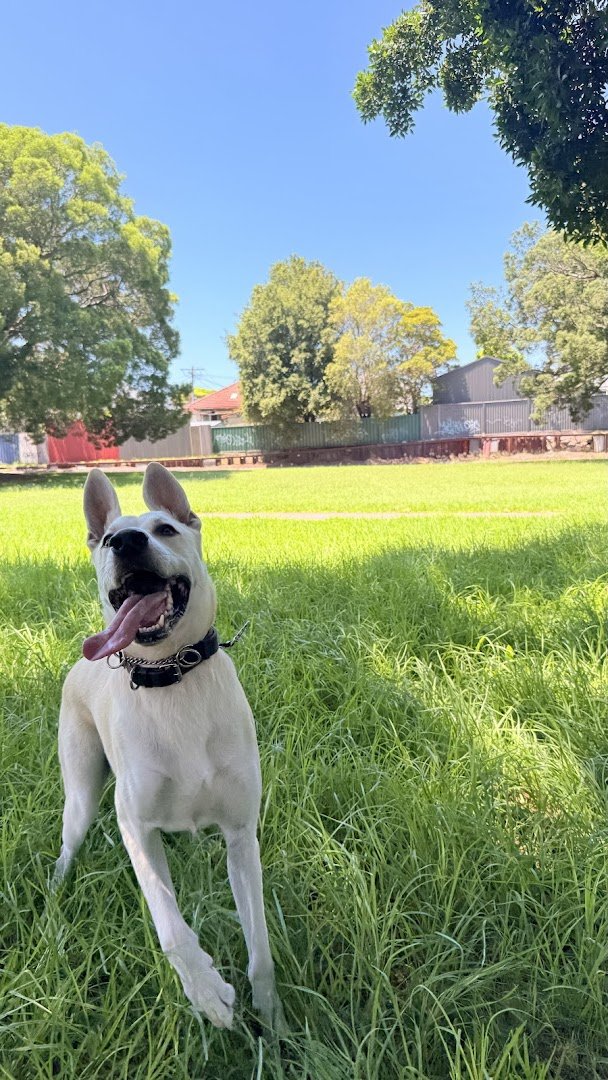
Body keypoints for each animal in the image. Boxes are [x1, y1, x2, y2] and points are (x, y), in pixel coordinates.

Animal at [52, 463, 284, 1030]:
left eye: (166, 529)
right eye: (108, 539)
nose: (127, 543)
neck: (172, 676)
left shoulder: (242, 835)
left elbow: (261, 950)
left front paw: (274, 1025)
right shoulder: (134, 825)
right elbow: (170, 922)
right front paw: (206, 991)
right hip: (81, 794)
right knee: (69, 840)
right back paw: (57, 890)